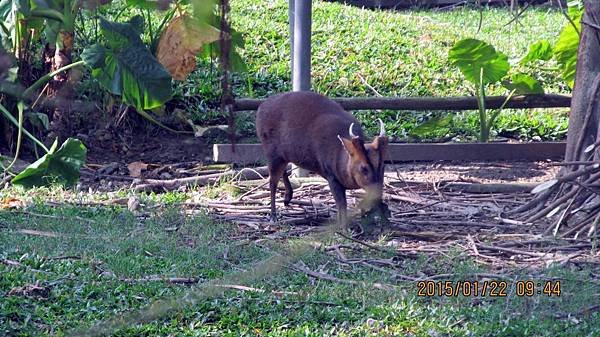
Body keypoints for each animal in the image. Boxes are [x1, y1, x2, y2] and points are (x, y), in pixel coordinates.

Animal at [254, 91, 390, 226]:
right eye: (363, 168)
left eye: (382, 165)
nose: (377, 192)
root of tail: (261, 107)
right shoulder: (330, 174)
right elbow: (341, 204)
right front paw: (343, 226)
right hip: (271, 151)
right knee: (272, 182)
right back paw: (273, 216)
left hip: (282, 154)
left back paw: (287, 198)